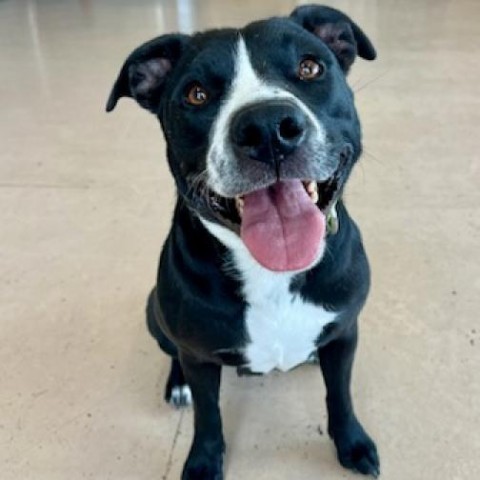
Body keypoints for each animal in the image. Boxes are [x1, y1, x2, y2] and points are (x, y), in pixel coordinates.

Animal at [108, 4, 378, 480]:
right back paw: (177, 385)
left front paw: (352, 443)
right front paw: (203, 460)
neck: (271, 275)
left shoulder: (345, 332)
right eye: (196, 94)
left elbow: (340, 395)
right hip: (154, 311)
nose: (268, 127)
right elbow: (208, 415)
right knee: (172, 352)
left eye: (310, 68)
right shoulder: (199, 357)